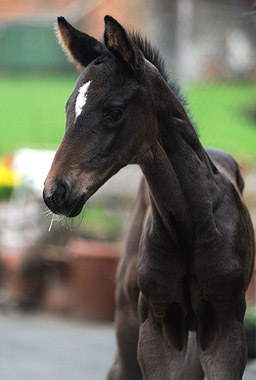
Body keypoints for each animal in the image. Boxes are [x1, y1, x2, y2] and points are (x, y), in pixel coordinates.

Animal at [43, 15, 254, 380]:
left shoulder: (225, 327)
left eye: (114, 111)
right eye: (70, 108)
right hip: (128, 321)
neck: (191, 224)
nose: (56, 191)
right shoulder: (157, 327)